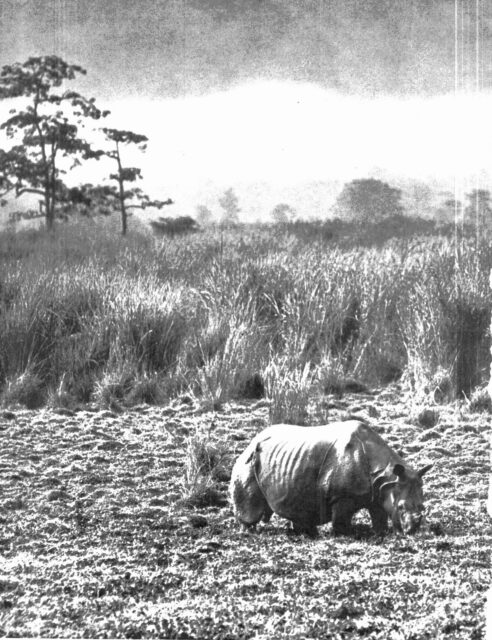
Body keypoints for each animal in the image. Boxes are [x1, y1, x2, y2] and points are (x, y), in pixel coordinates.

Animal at [230, 420, 432, 537]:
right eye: (401, 507)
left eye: (423, 507)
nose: (413, 531)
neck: (387, 473)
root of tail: (251, 441)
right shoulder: (342, 496)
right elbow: (341, 520)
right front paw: (345, 535)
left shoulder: (379, 493)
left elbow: (379, 517)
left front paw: (380, 533)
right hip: (248, 462)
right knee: (250, 507)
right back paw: (248, 532)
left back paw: (304, 533)